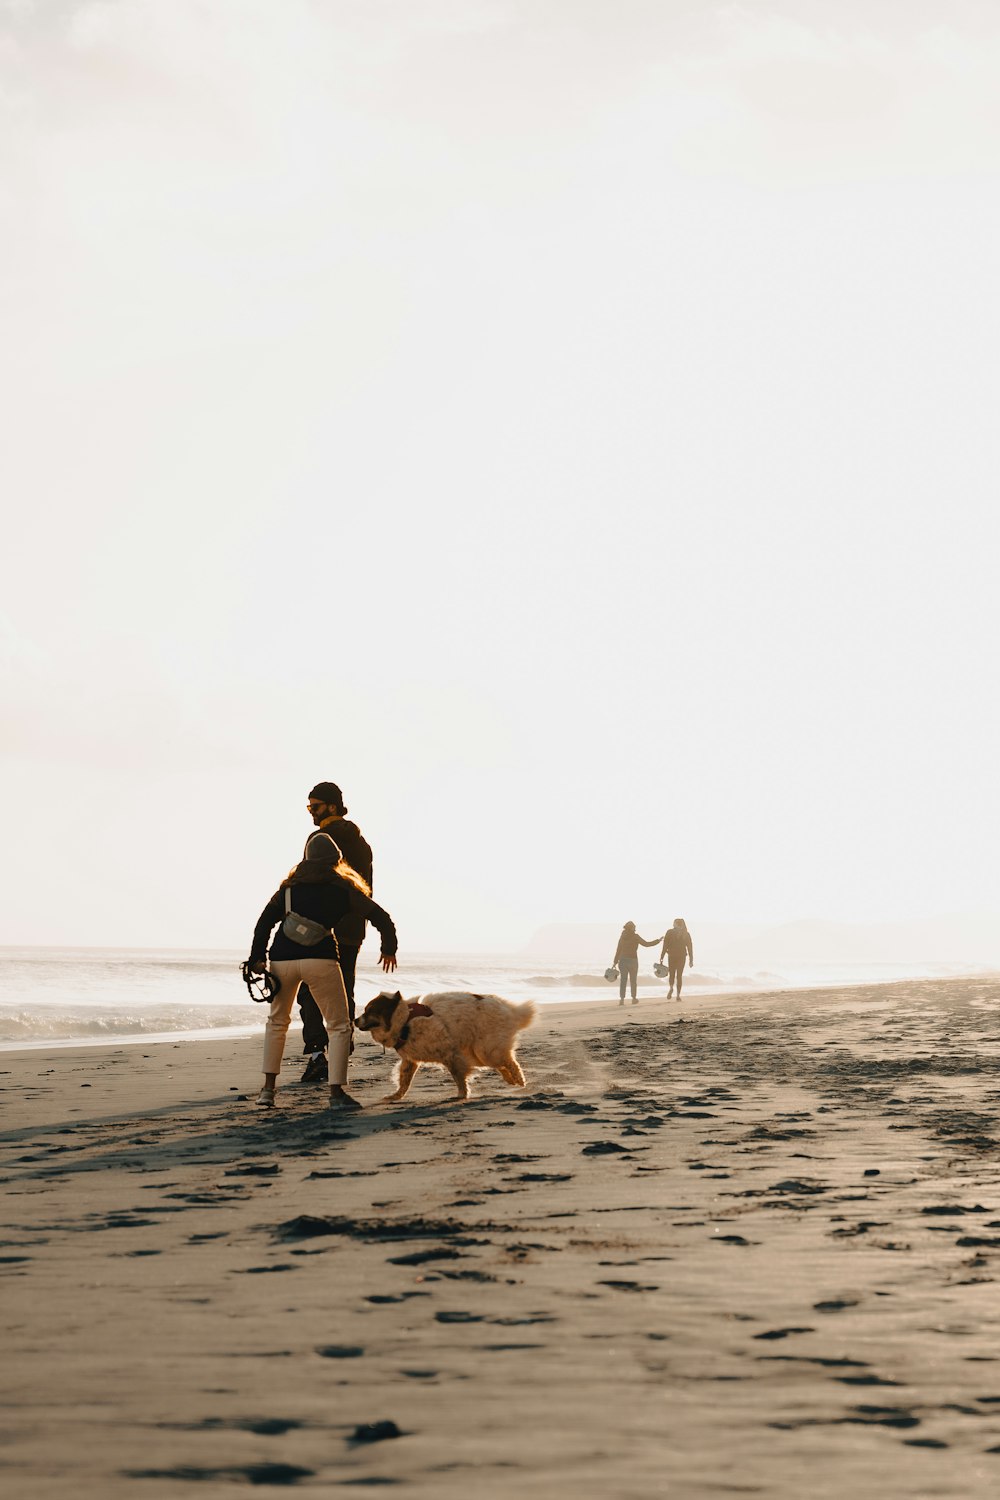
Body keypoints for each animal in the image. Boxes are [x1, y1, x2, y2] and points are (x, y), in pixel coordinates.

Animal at [355, 996, 536, 1104]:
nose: (355, 1020)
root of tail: (510, 1009)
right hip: (478, 1052)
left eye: (368, 1011)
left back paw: (519, 1080)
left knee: (509, 1061)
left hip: (485, 1050)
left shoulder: (450, 1055)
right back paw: (510, 1080)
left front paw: (462, 1095)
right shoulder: (410, 1060)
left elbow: (458, 1077)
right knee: (501, 1063)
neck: (405, 1021)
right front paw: (396, 1096)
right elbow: (404, 1081)